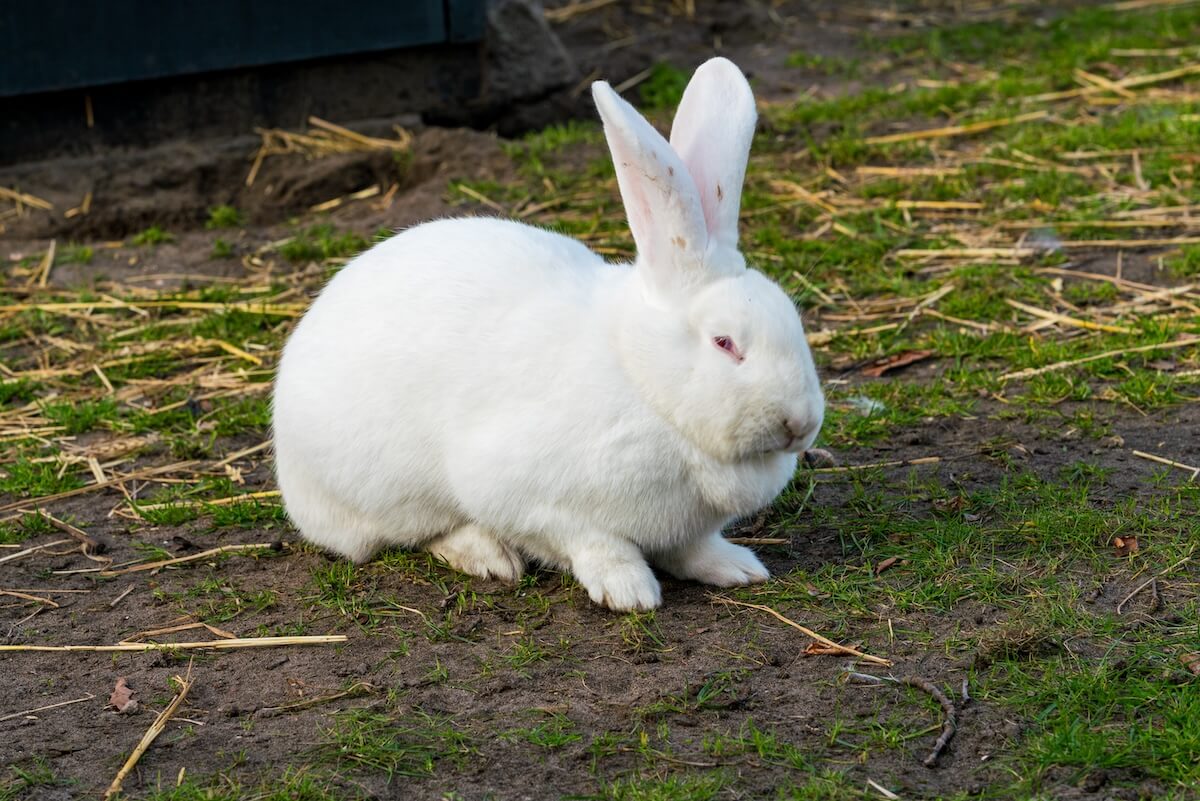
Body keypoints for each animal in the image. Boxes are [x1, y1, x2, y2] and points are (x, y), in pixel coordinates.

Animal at [272, 57, 824, 611]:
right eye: (724, 343)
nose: (800, 423)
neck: (643, 380)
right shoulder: (529, 498)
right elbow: (593, 542)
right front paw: (629, 591)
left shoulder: (683, 529)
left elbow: (691, 548)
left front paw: (736, 568)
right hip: (388, 496)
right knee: (413, 534)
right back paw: (488, 556)